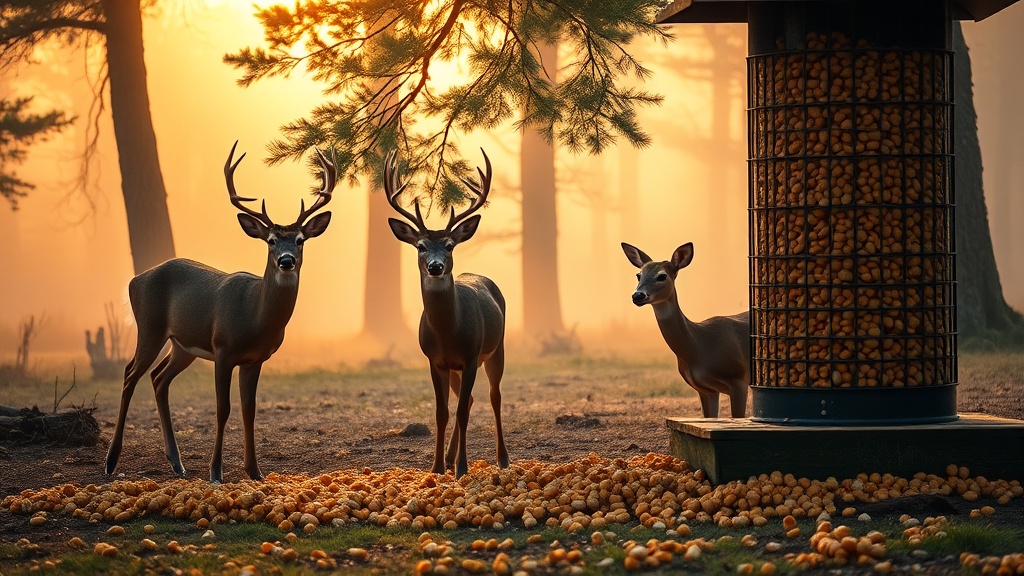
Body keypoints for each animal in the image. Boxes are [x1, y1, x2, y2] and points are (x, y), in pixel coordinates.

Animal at [104, 141, 335, 483]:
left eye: (299, 240)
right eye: (270, 241)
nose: (286, 260)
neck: (255, 317)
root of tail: (135, 280)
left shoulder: (255, 359)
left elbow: (249, 409)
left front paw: (255, 470)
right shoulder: (223, 348)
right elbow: (223, 408)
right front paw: (216, 471)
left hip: (183, 345)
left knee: (159, 378)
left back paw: (177, 463)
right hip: (149, 327)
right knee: (130, 374)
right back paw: (111, 461)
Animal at [384, 149, 508, 479]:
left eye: (450, 245)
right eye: (421, 246)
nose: (436, 266)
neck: (448, 334)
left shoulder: (470, 356)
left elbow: (462, 412)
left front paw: (462, 468)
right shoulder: (434, 360)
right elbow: (442, 412)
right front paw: (438, 466)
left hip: (496, 349)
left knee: (494, 397)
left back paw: (502, 458)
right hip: (459, 367)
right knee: (471, 399)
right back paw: (451, 458)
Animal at [621, 242, 751, 418]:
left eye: (662, 276)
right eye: (638, 275)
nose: (638, 296)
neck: (699, 346)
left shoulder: (738, 379)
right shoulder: (706, 390)